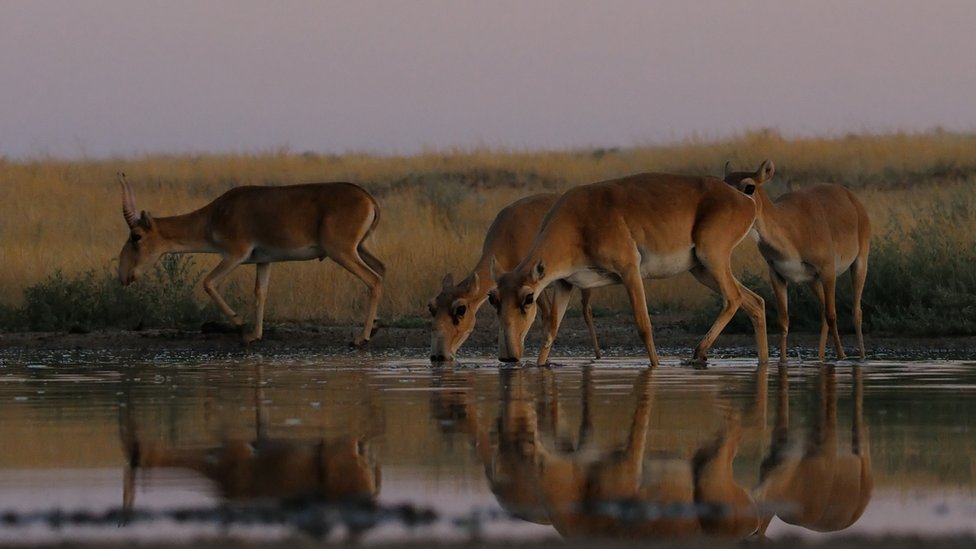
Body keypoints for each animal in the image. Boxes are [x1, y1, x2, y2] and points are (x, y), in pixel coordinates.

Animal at [116, 172, 384, 342]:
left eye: (136, 236)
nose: (123, 275)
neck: (213, 216)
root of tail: (369, 199)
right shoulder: (264, 260)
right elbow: (260, 292)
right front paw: (255, 335)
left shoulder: (235, 254)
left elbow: (208, 282)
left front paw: (241, 325)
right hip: (360, 248)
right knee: (381, 269)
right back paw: (374, 328)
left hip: (342, 252)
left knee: (373, 280)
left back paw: (361, 338)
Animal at [428, 193, 604, 364]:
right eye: (431, 307)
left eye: (461, 309)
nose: (438, 356)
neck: (509, 236)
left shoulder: (535, 286)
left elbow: (547, 317)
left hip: (585, 284)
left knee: (587, 311)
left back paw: (597, 356)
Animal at [488, 173, 772, 366]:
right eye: (493, 299)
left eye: (528, 298)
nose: (507, 357)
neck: (576, 222)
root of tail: (747, 201)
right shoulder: (564, 283)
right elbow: (551, 330)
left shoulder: (629, 271)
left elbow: (643, 325)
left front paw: (656, 366)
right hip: (701, 269)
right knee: (755, 301)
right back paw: (762, 360)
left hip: (712, 257)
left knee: (733, 298)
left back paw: (699, 351)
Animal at [720, 161, 872, 362]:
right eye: (724, 183)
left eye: (749, 187)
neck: (791, 228)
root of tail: (852, 198)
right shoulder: (777, 275)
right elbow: (783, 322)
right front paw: (782, 361)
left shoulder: (828, 271)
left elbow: (832, 315)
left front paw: (842, 357)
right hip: (812, 281)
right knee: (823, 312)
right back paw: (820, 358)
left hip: (859, 262)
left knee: (855, 312)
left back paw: (861, 357)